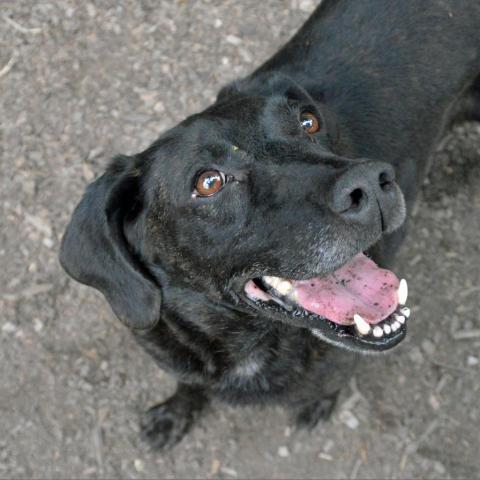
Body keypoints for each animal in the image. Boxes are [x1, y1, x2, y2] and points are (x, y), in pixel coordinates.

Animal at [60, 0, 480, 450]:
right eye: (208, 182)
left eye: (309, 122)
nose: (372, 182)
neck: (244, 343)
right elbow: (188, 386)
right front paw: (175, 413)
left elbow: (328, 386)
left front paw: (319, 404)